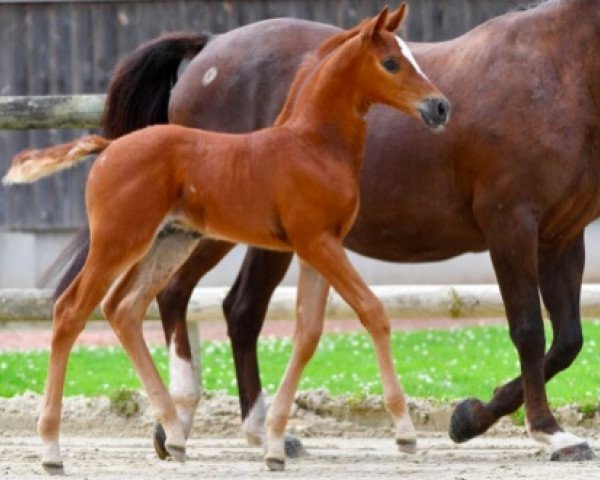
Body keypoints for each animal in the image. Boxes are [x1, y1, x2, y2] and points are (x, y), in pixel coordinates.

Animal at [3, 5, 446, 474]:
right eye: (391, 63)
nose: (440, 107)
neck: (313, 144)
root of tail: (108, 146)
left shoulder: (318, 247)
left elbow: (308, 333)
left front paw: (275, 444)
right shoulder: (318, 244)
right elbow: (372, 311)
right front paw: (405, 433)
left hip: (170, 242)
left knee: (124, 308)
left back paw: (175, 436)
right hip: (118, 242)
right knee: (71, 310)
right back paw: (52, 450)